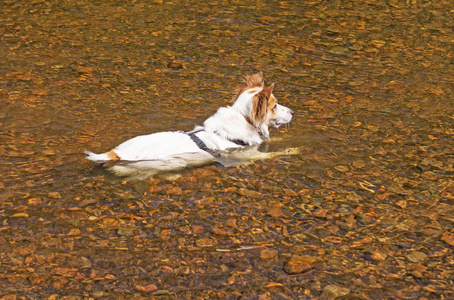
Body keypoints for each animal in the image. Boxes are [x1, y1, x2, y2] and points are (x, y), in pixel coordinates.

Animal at [86, 71, 294, 177]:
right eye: (275, 106)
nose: (293, 112)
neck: (243, 118)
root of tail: (115, 153)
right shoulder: (247, 155)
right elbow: (274, 153)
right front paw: (293, 150)